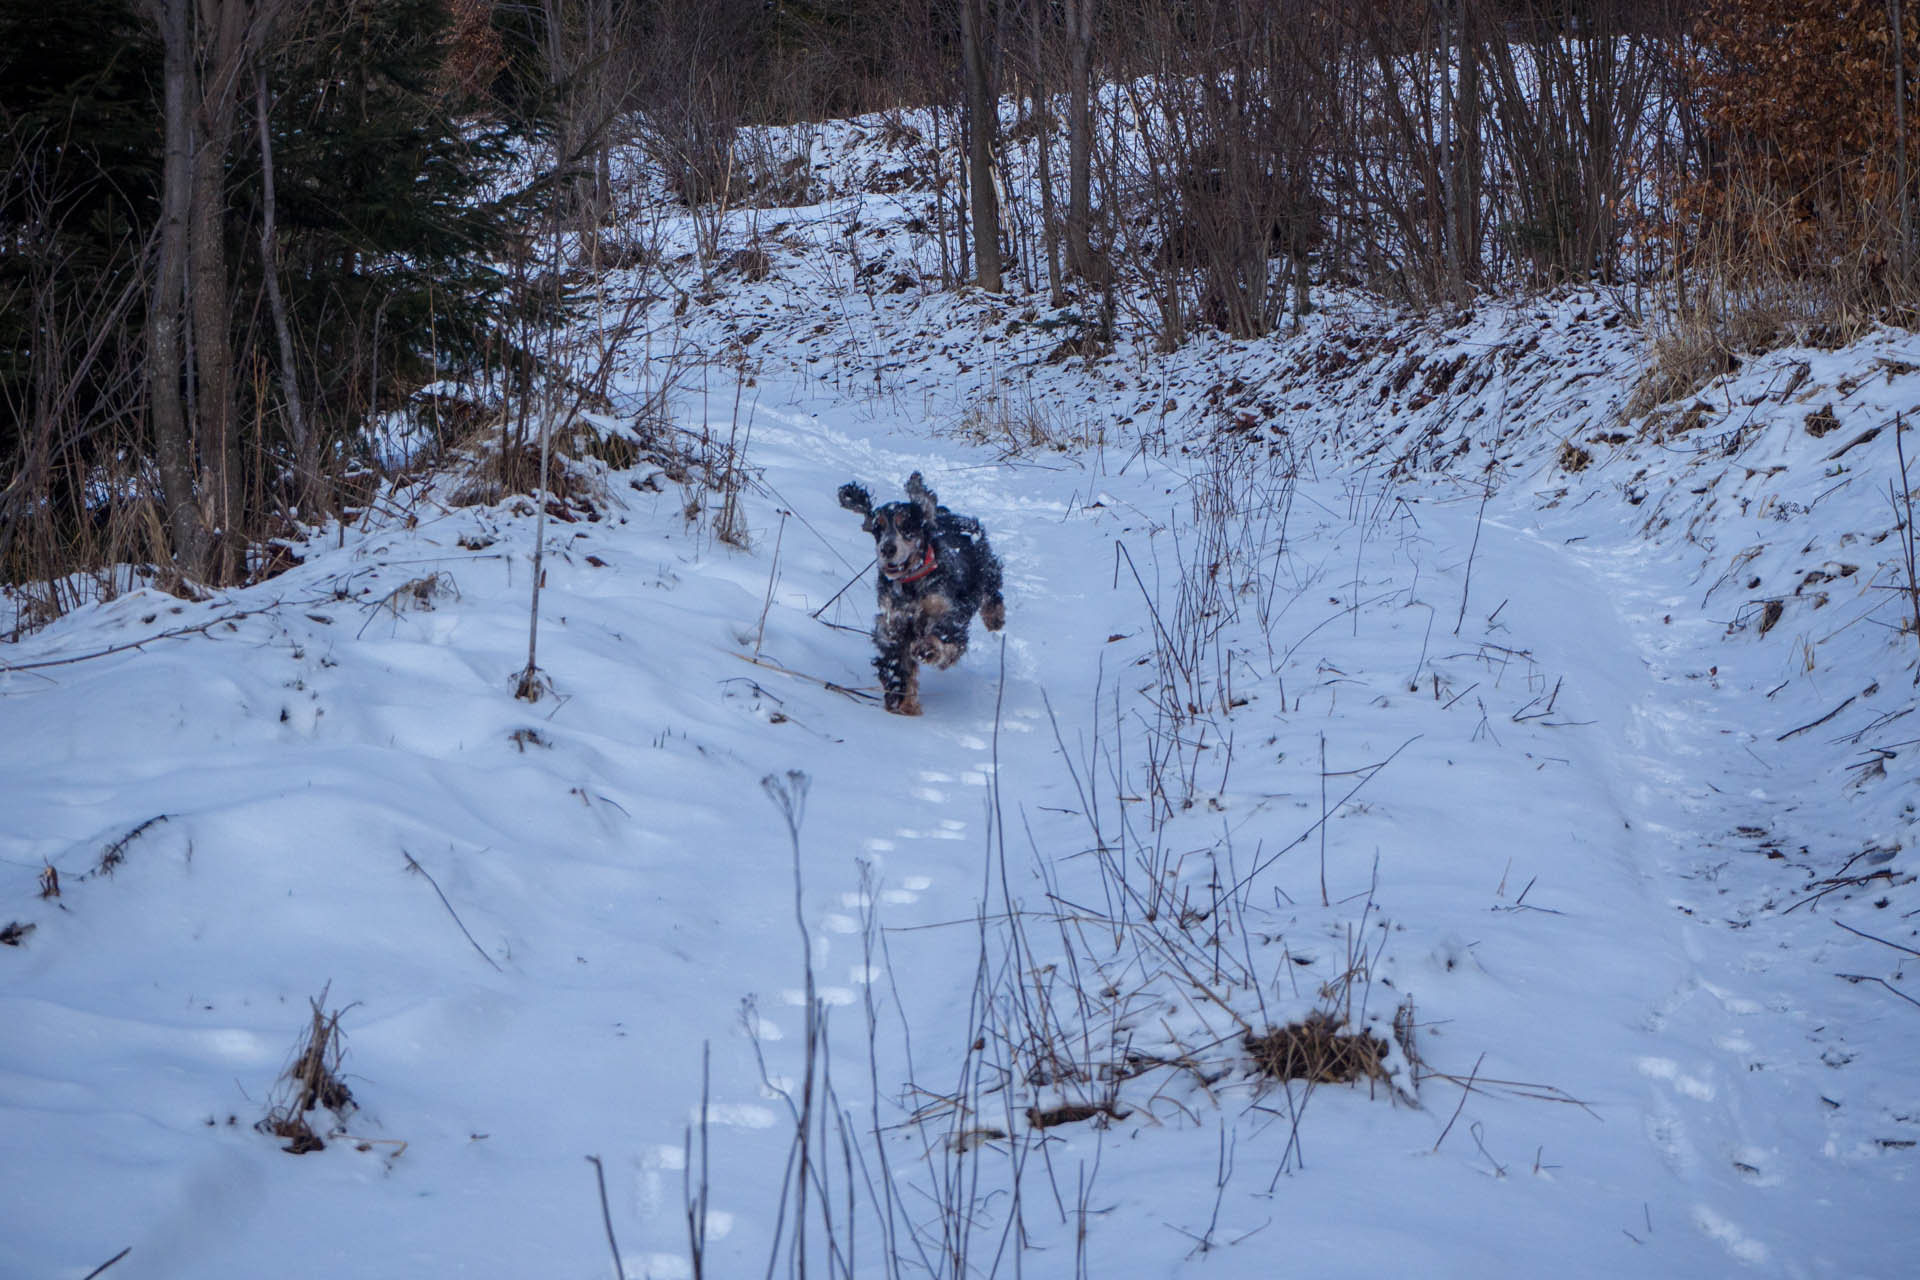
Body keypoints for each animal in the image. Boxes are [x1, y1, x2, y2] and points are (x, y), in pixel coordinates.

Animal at [837, 470, 1006, 717]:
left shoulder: (950, 612)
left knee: (992, 591)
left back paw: (995, 618)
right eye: (878, 527)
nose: (887, 549)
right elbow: (899, 665)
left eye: (907, 525)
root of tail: (946, 513)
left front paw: (927, 648)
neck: (912, 581)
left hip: (985, 566)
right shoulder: (894, 624)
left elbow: (944, 636)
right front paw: (904, 704)